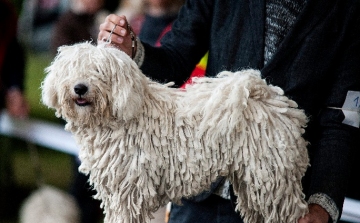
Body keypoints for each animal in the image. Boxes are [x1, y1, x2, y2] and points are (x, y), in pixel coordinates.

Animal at [41, 41, 310, 223]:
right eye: (72, 70)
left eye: (99, 71)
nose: (79, 88)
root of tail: (268, 98)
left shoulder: (129, 190)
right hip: (255, 183)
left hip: (272, 177)